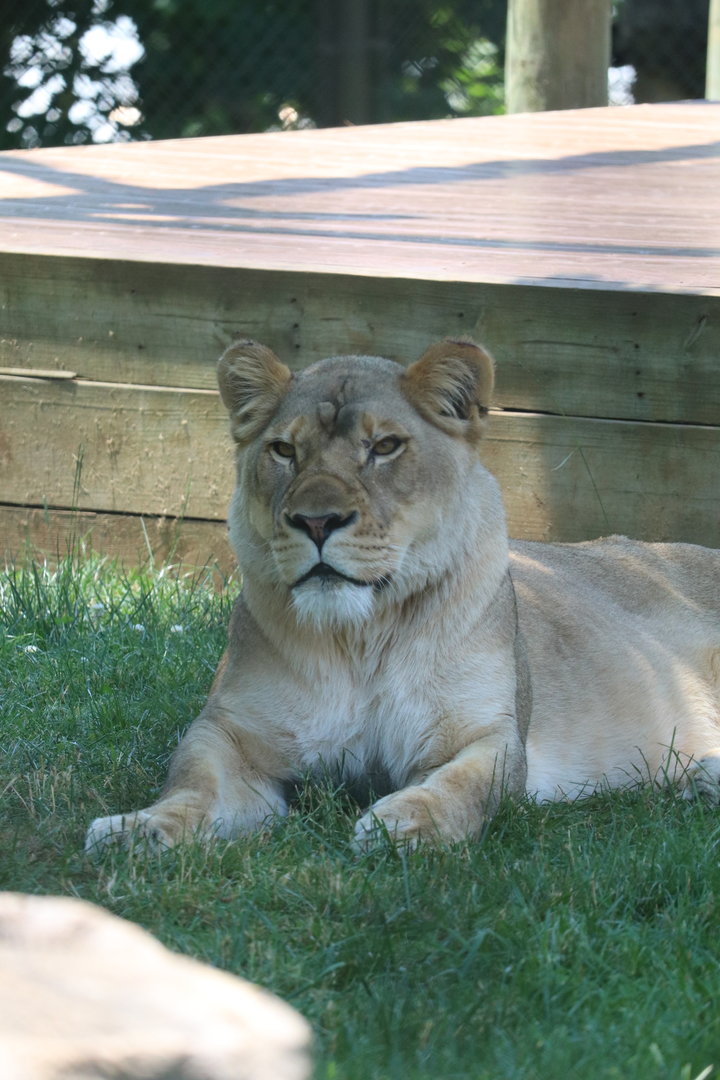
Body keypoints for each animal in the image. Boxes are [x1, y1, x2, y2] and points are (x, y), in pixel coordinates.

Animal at [86, 338, 720, 853]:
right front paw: (140, 828)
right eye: (284, 451)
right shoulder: (230, 732)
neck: (361, 637)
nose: (317, 521)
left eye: (385, 446)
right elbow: (195, 783)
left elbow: (464, 785)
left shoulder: (488, 733)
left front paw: (406, 825)